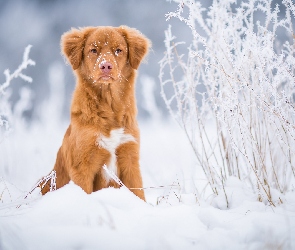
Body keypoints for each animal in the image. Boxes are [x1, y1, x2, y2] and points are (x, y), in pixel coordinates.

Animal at [39, 25, 150, 201]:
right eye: (93, 50)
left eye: (118, 50)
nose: (105, 66)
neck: (109, 107)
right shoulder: (83, 166)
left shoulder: (130, 159)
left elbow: (138, 194)